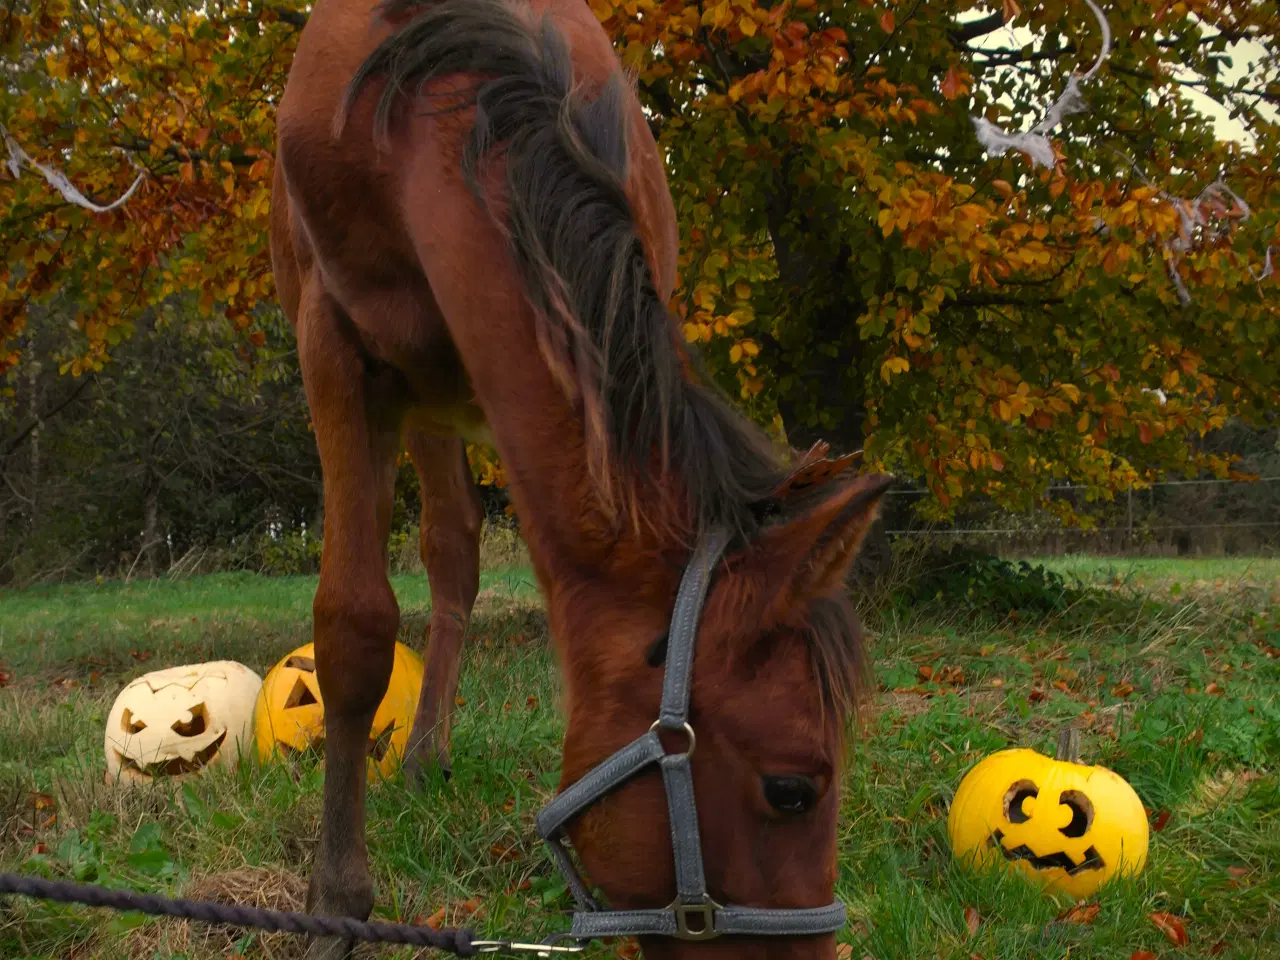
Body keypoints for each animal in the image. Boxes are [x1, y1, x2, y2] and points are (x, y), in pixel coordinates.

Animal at [270, 0, 890, 957]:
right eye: (793, 790)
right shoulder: (332, 341)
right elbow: (355, 625)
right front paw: (336, 904)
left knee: (454, 551)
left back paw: (427, 754)